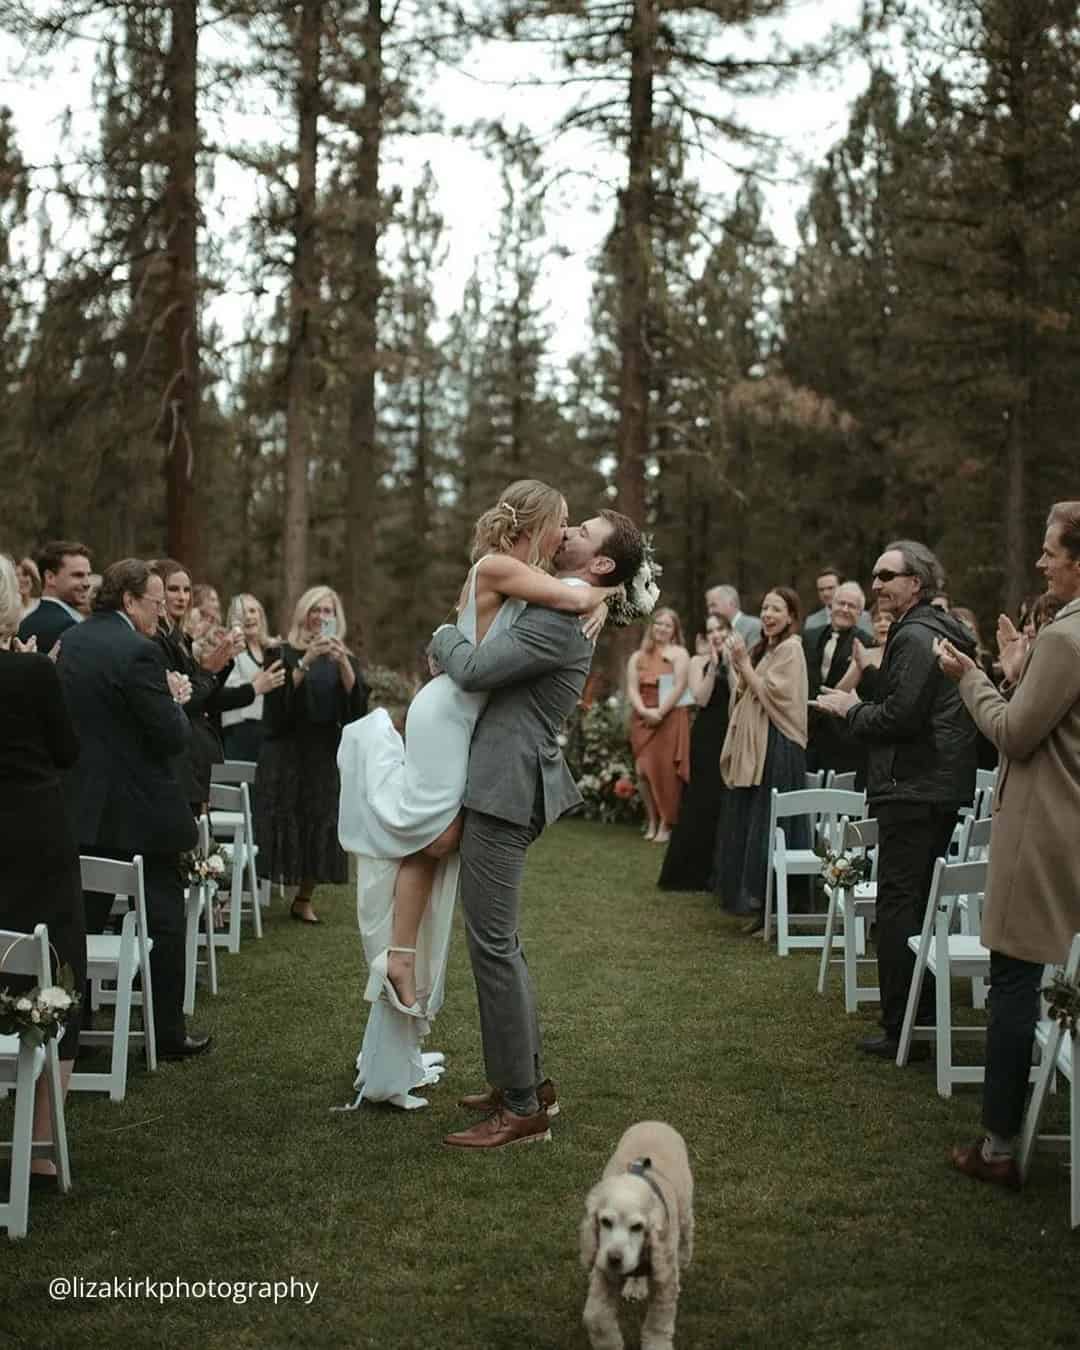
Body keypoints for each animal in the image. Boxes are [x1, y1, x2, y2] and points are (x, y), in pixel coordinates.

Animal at [577, 1117, 696, 1350]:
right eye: (605, 1222)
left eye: (637, 1227)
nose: (615, 1259)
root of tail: (654, 1121)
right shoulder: (604, 1272)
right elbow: (597, 1317)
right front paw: (610, 1345)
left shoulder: (663, 1279)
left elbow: (658, 1323)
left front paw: (657, 1345)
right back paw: (635, 1286)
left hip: (685, 1204)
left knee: (688, 1229)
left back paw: (683, 1258)